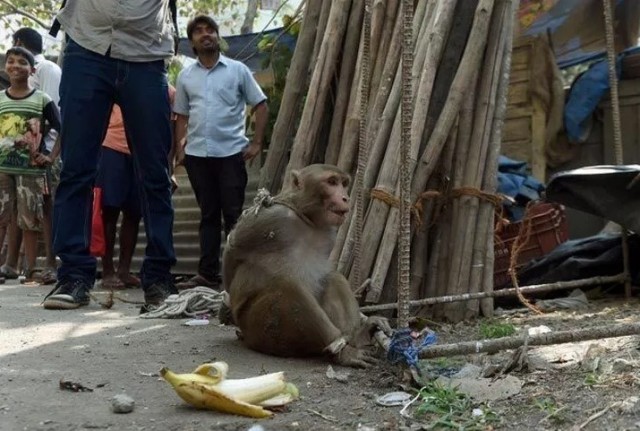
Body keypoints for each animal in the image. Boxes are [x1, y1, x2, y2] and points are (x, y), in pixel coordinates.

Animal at [220, 165, 390, 368]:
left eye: (344, 183)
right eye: (332, 182)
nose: (345, 198)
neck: (306, 219)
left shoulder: (331, 233)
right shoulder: (269, 217)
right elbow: (232, 248)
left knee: (334, 278)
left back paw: (357, 337)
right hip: (259, 329)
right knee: (287, 286)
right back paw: (343, 351)